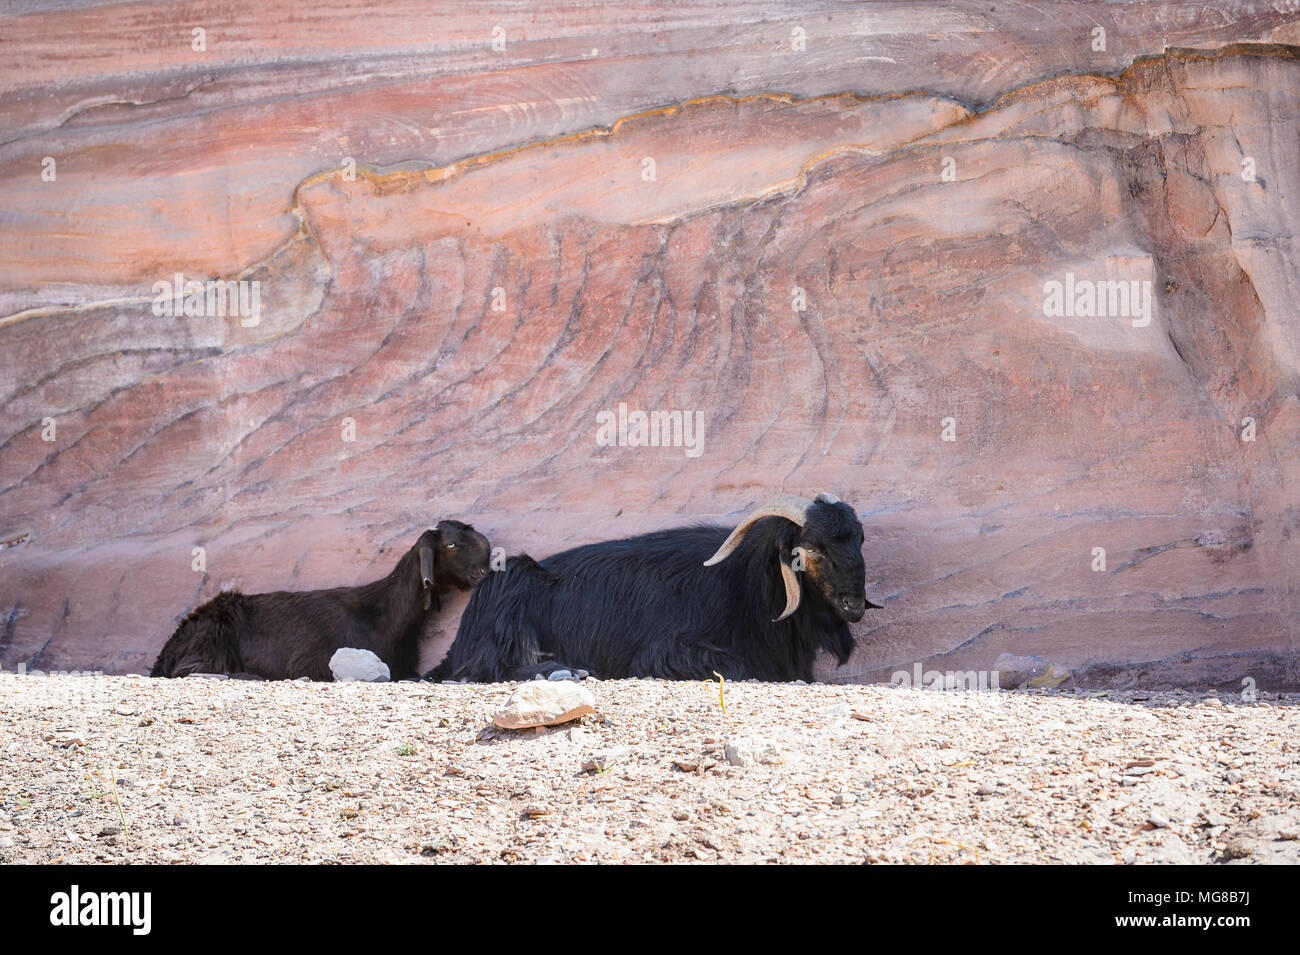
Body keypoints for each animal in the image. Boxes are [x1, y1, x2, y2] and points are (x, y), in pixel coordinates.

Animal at [151, 520, 491, 680]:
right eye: (451, 544)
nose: (485, 568)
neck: (381, 614)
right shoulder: (316, 661)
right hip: (212, 637)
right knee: (191, 669)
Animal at [425, 495, 880, 682]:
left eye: (859, 539)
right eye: (811, 547)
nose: (854, 605)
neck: (746, 582)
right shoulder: (667, 649)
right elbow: (735, 667)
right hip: (509, 596)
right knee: (484, 669)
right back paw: (562, 670)